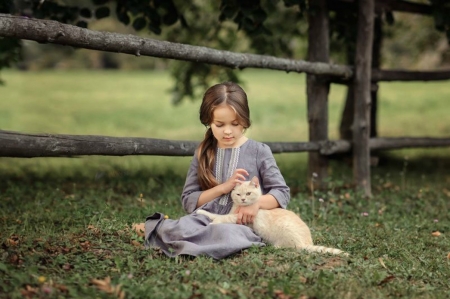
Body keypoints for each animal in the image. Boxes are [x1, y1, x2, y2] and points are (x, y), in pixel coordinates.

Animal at [197, 177, 348, 256]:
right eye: (238, 194)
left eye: (249, 193)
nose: (243, 199)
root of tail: (308, 242)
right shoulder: (231, 213)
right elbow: (215, 214)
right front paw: (202, 213)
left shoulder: (239, 218)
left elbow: (223, 218)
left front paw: (213, 223)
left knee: (293, 247)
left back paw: (272, 247)